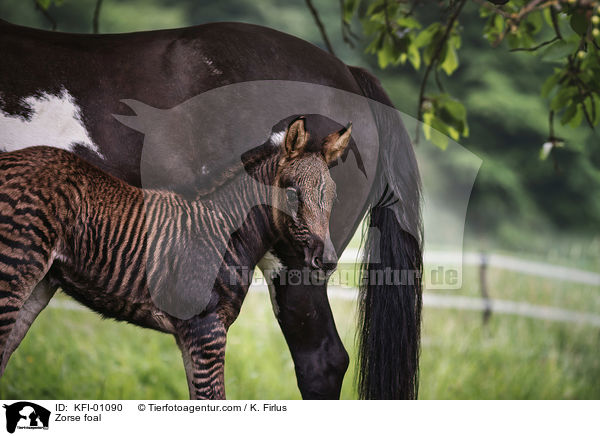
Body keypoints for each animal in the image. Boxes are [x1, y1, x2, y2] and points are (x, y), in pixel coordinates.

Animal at [0, 117, 352, 400]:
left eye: (334, 197)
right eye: (292, 194)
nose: (327, 261)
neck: (224, 232)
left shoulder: (191, 336)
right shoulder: (206, 329)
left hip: (38, 285)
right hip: (13, 271)